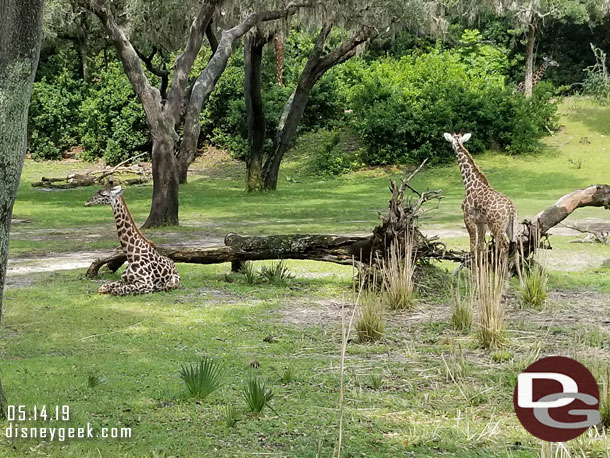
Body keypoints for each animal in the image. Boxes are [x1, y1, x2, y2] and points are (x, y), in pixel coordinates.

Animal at [442, 132, 524, 282]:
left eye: (451, 142)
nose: (452, 148)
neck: (470, 184)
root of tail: (511, 210)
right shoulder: (481, 222)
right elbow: (480, 246)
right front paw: (480, 277)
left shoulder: (468, 218)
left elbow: (472, 247)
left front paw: (474, 278)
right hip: (512, 227)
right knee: (515, 250)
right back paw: (521, 283)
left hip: (497, 227)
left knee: (504, 248)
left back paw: (503, 281)